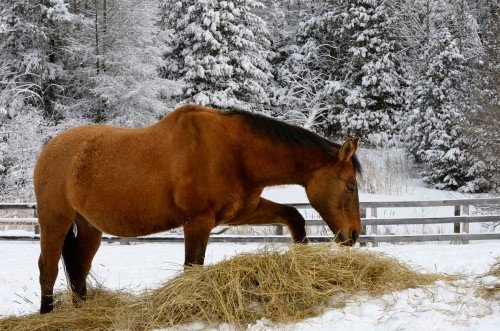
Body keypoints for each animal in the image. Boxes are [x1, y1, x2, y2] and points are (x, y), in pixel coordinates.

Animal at [34, 104, 360, 314]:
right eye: (351, 186)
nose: (354, 235)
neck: (232, 151)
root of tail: (49, 149)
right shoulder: (197, 222)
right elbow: (193, 268)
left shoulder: (242, 210)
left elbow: (294, 215)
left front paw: (303, 261)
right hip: (54, 222)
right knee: (48, 267)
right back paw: (46, 313)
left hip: (90, 227)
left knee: (78, 267)